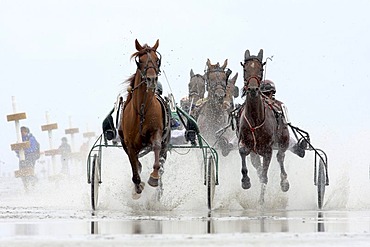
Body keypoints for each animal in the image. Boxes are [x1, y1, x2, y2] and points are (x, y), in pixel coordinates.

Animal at [118, 39, 171, 198]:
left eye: (157, 59)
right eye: (140, 61)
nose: (151, 79)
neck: (141, 109)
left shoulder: (157, 132)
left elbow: (156, 146)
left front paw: (154, 176)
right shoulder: (129, 144)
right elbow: (134, 167)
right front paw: (137, 187)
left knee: (162, 156)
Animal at [238, 49, 290, 204]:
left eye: (260, 69)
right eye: (245, 69)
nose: (253, 89)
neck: (255, 118)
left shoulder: (267, 150)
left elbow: (264, 177)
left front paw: (261, 201)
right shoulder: (245, 142)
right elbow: (243, 152)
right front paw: (246, 181)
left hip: (284, 139)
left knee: (281, 156)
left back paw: (284, 182)